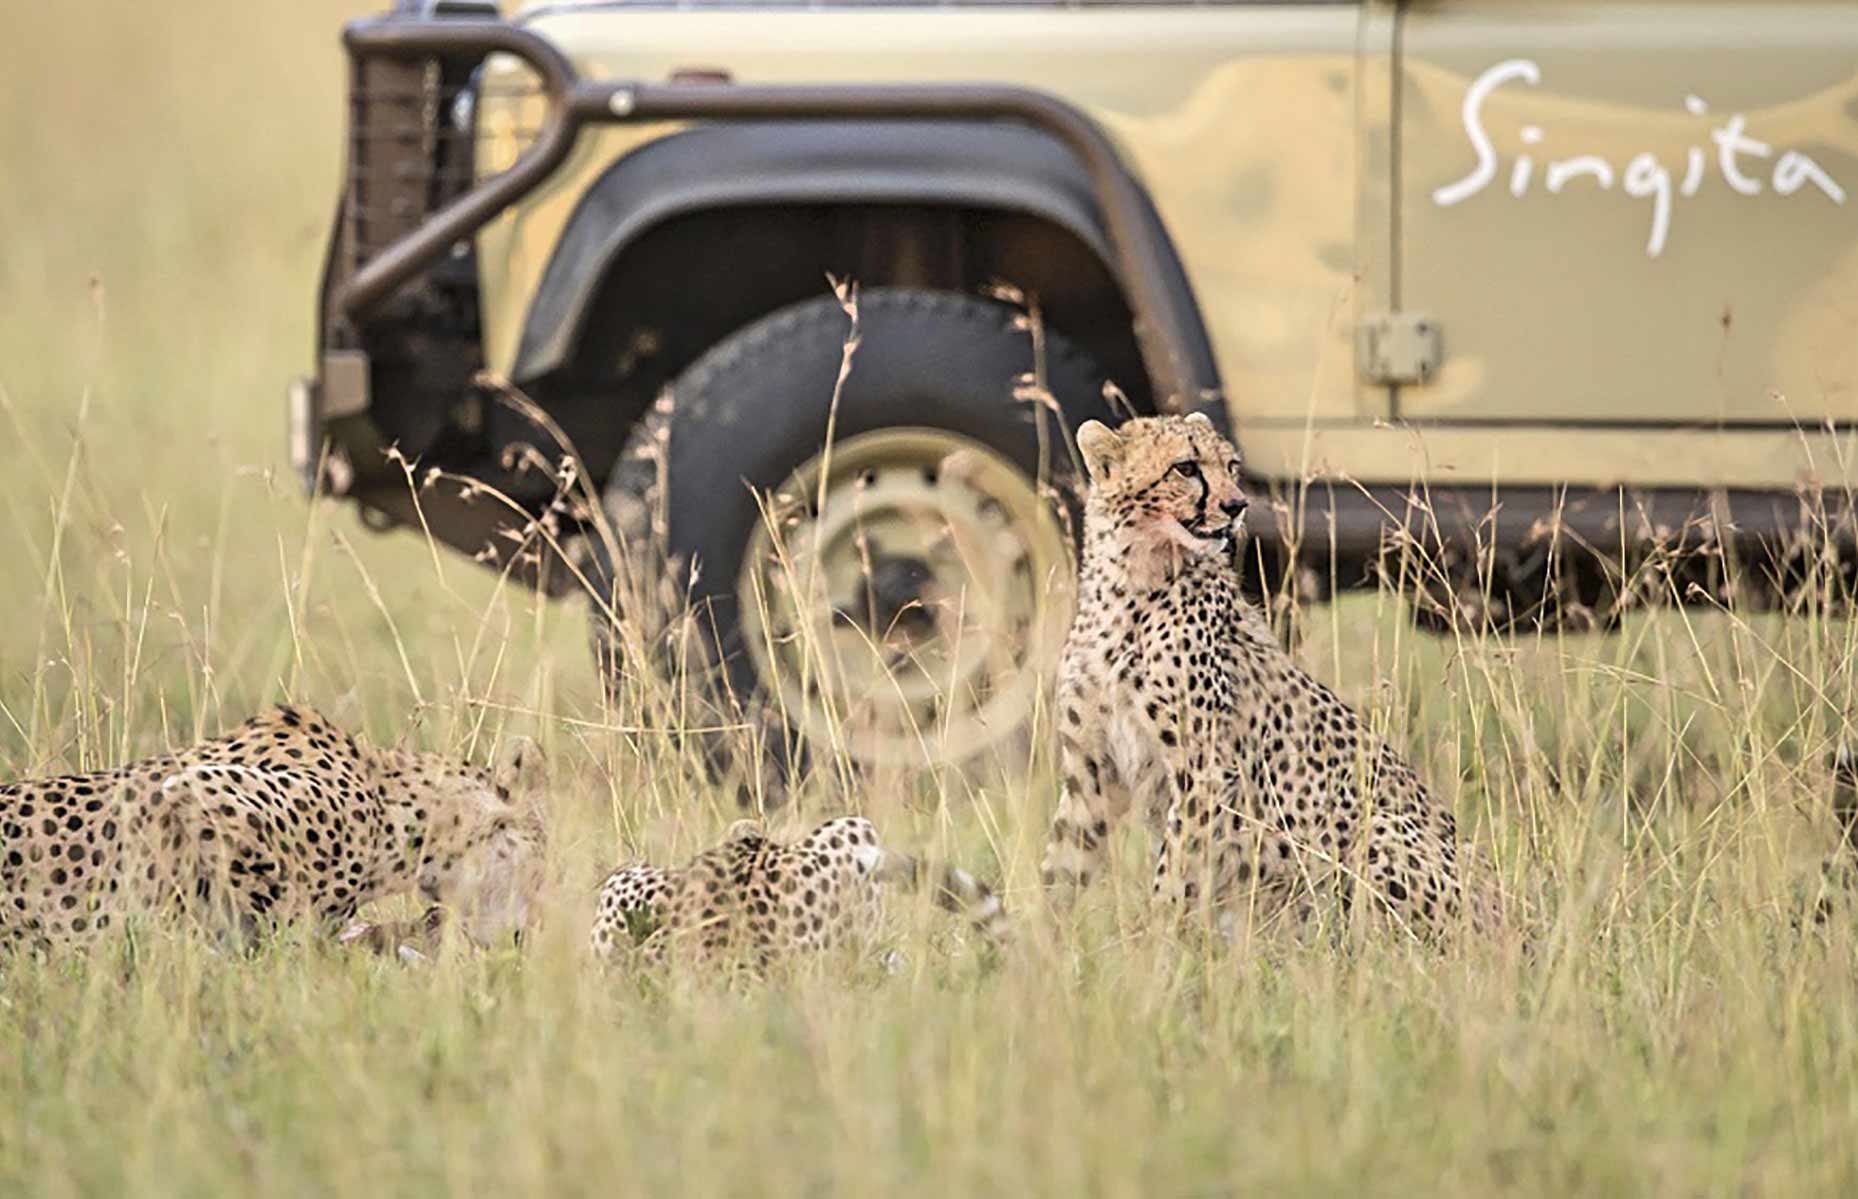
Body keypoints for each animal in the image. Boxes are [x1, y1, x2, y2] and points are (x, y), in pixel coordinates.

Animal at [1047, 410, 1464, 936]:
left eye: (1231, 466)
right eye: (1186, 467)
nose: (1237, 505)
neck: (1132, 582)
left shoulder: (1204, 771)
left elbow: (1173, 875)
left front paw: (1156, 947)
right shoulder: (1092, 770)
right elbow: (1060, 867)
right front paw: (1026, 943)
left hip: (1381, 828)